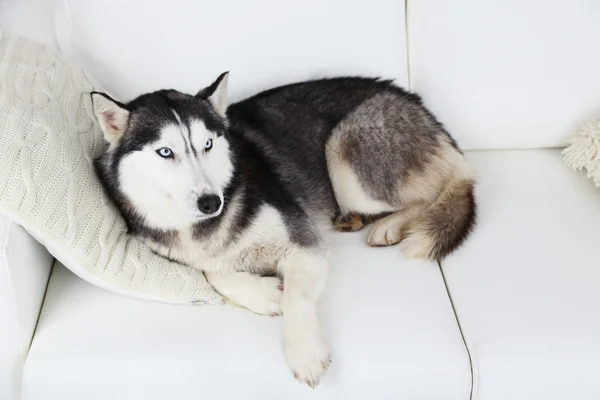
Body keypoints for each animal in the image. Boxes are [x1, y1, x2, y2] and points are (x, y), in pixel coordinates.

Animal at [92, 72, 478, 388]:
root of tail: (411, 99)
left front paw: (305, 353)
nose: (211, 202)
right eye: (165, 152)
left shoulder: (305, 242)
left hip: (346, 159)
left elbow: (294, 296)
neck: (206, 226)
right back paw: (353, 219)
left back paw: (389, 225)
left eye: (207, 145)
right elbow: (213, 273)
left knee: (435, 193)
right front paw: (262, 294)